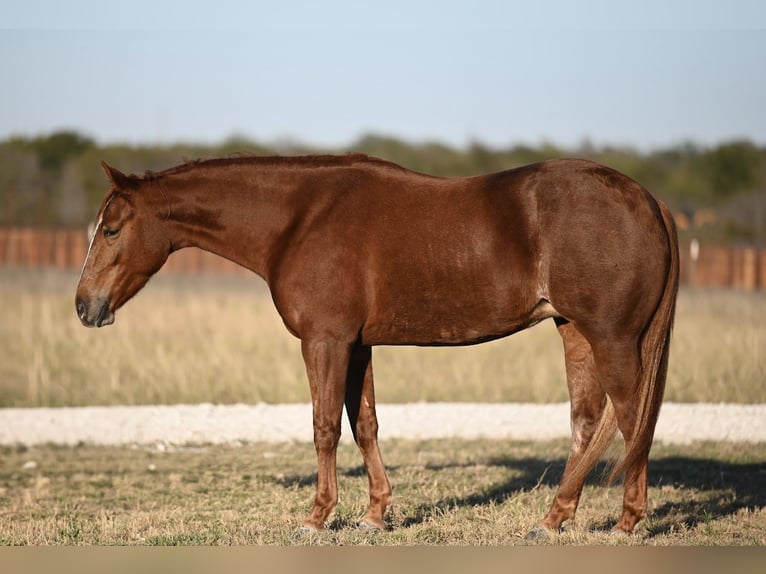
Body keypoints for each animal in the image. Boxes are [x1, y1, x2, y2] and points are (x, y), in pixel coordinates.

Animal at [76, 154, 680, 540]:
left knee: (633, 421)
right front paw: (374, 515)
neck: (301, 218)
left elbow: (324, 427)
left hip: (611, 338)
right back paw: (554, 519)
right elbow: (363, 423)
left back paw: (627, 522)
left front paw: (317, 518)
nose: (85, 306)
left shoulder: (325, 341)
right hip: (574, 331)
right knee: (588, 420)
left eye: (111, 230)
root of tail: (650, 200)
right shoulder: (357, 345)